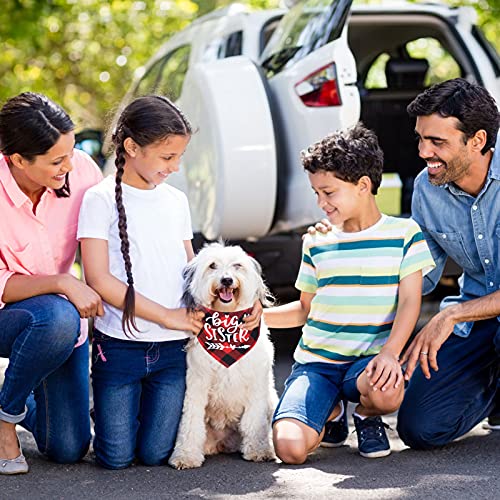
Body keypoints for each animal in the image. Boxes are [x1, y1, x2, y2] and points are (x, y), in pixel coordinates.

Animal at [168, 242, 278, 468]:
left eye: (237, 265)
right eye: (212, 266)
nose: (226, 279)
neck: (226, 324)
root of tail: (222, 443)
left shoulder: (257, 384)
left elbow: (254, 421)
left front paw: (259, 450)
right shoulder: (196, 383)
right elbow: (190, 422)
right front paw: (185, 455)